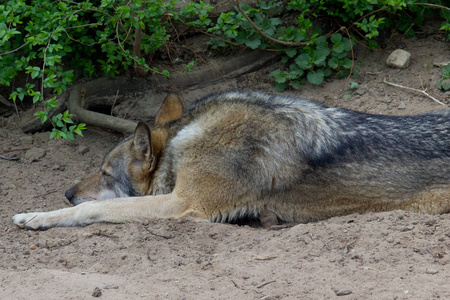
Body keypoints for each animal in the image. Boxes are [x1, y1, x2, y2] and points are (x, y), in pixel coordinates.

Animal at [11, 90, 450, 229]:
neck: (186, 139)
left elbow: (94, 210)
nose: (67, 192)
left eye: (105, 173)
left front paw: (36, 216)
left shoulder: (183, 204)